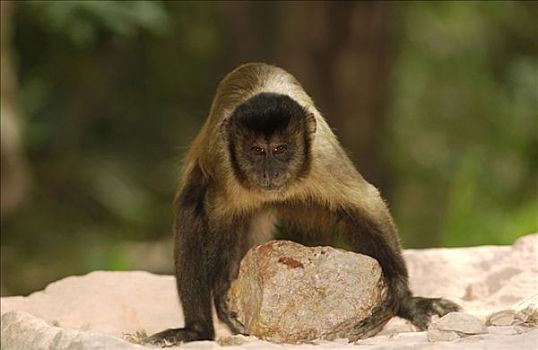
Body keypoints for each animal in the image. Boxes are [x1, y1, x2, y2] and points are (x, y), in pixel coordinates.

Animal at [147, 62, 456, 344]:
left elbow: (365, 203)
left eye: (280, 149)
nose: (269, 172)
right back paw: (197, 331)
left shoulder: (322, 158)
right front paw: (222, 291)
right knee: (189, 210)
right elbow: (219, 216)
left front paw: (402, 297)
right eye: (256, 151)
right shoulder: (225, 162)